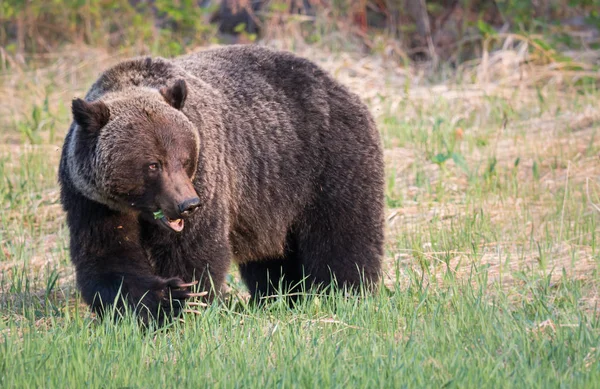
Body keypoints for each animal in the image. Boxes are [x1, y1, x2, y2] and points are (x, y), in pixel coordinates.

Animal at [59, 44, 384, 322]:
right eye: (153, 164)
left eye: (184, 159)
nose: (187, 204)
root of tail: (338, 84)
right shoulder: (91, 200)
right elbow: (108, 256)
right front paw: (161, 299)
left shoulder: (208, 174)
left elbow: (193, 250)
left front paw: (189, 300)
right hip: (270, 198)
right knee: (273, 259)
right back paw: (277, 298)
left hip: (324, 162)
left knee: (342, 235)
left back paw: (346, 293)